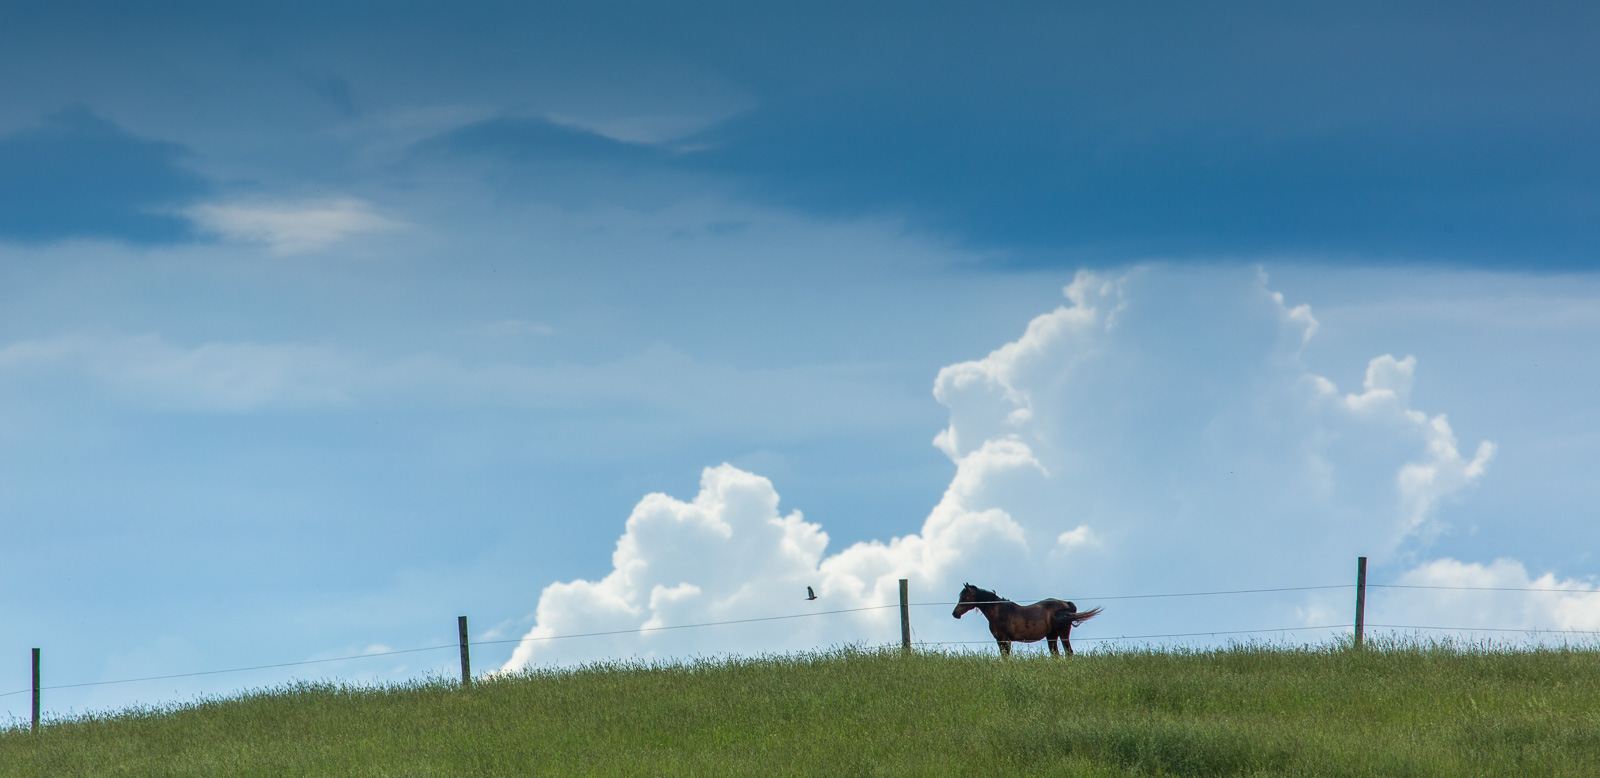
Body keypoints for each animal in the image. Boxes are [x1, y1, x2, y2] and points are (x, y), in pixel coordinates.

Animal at [947, 582, 1100, 656]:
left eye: (965, 597)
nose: (955, 613)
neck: (998, 612)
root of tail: (1065, 604)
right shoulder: (999, 640)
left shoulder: (1005, 640)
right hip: (1051, 636)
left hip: (1062, 633)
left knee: (1068, 653)